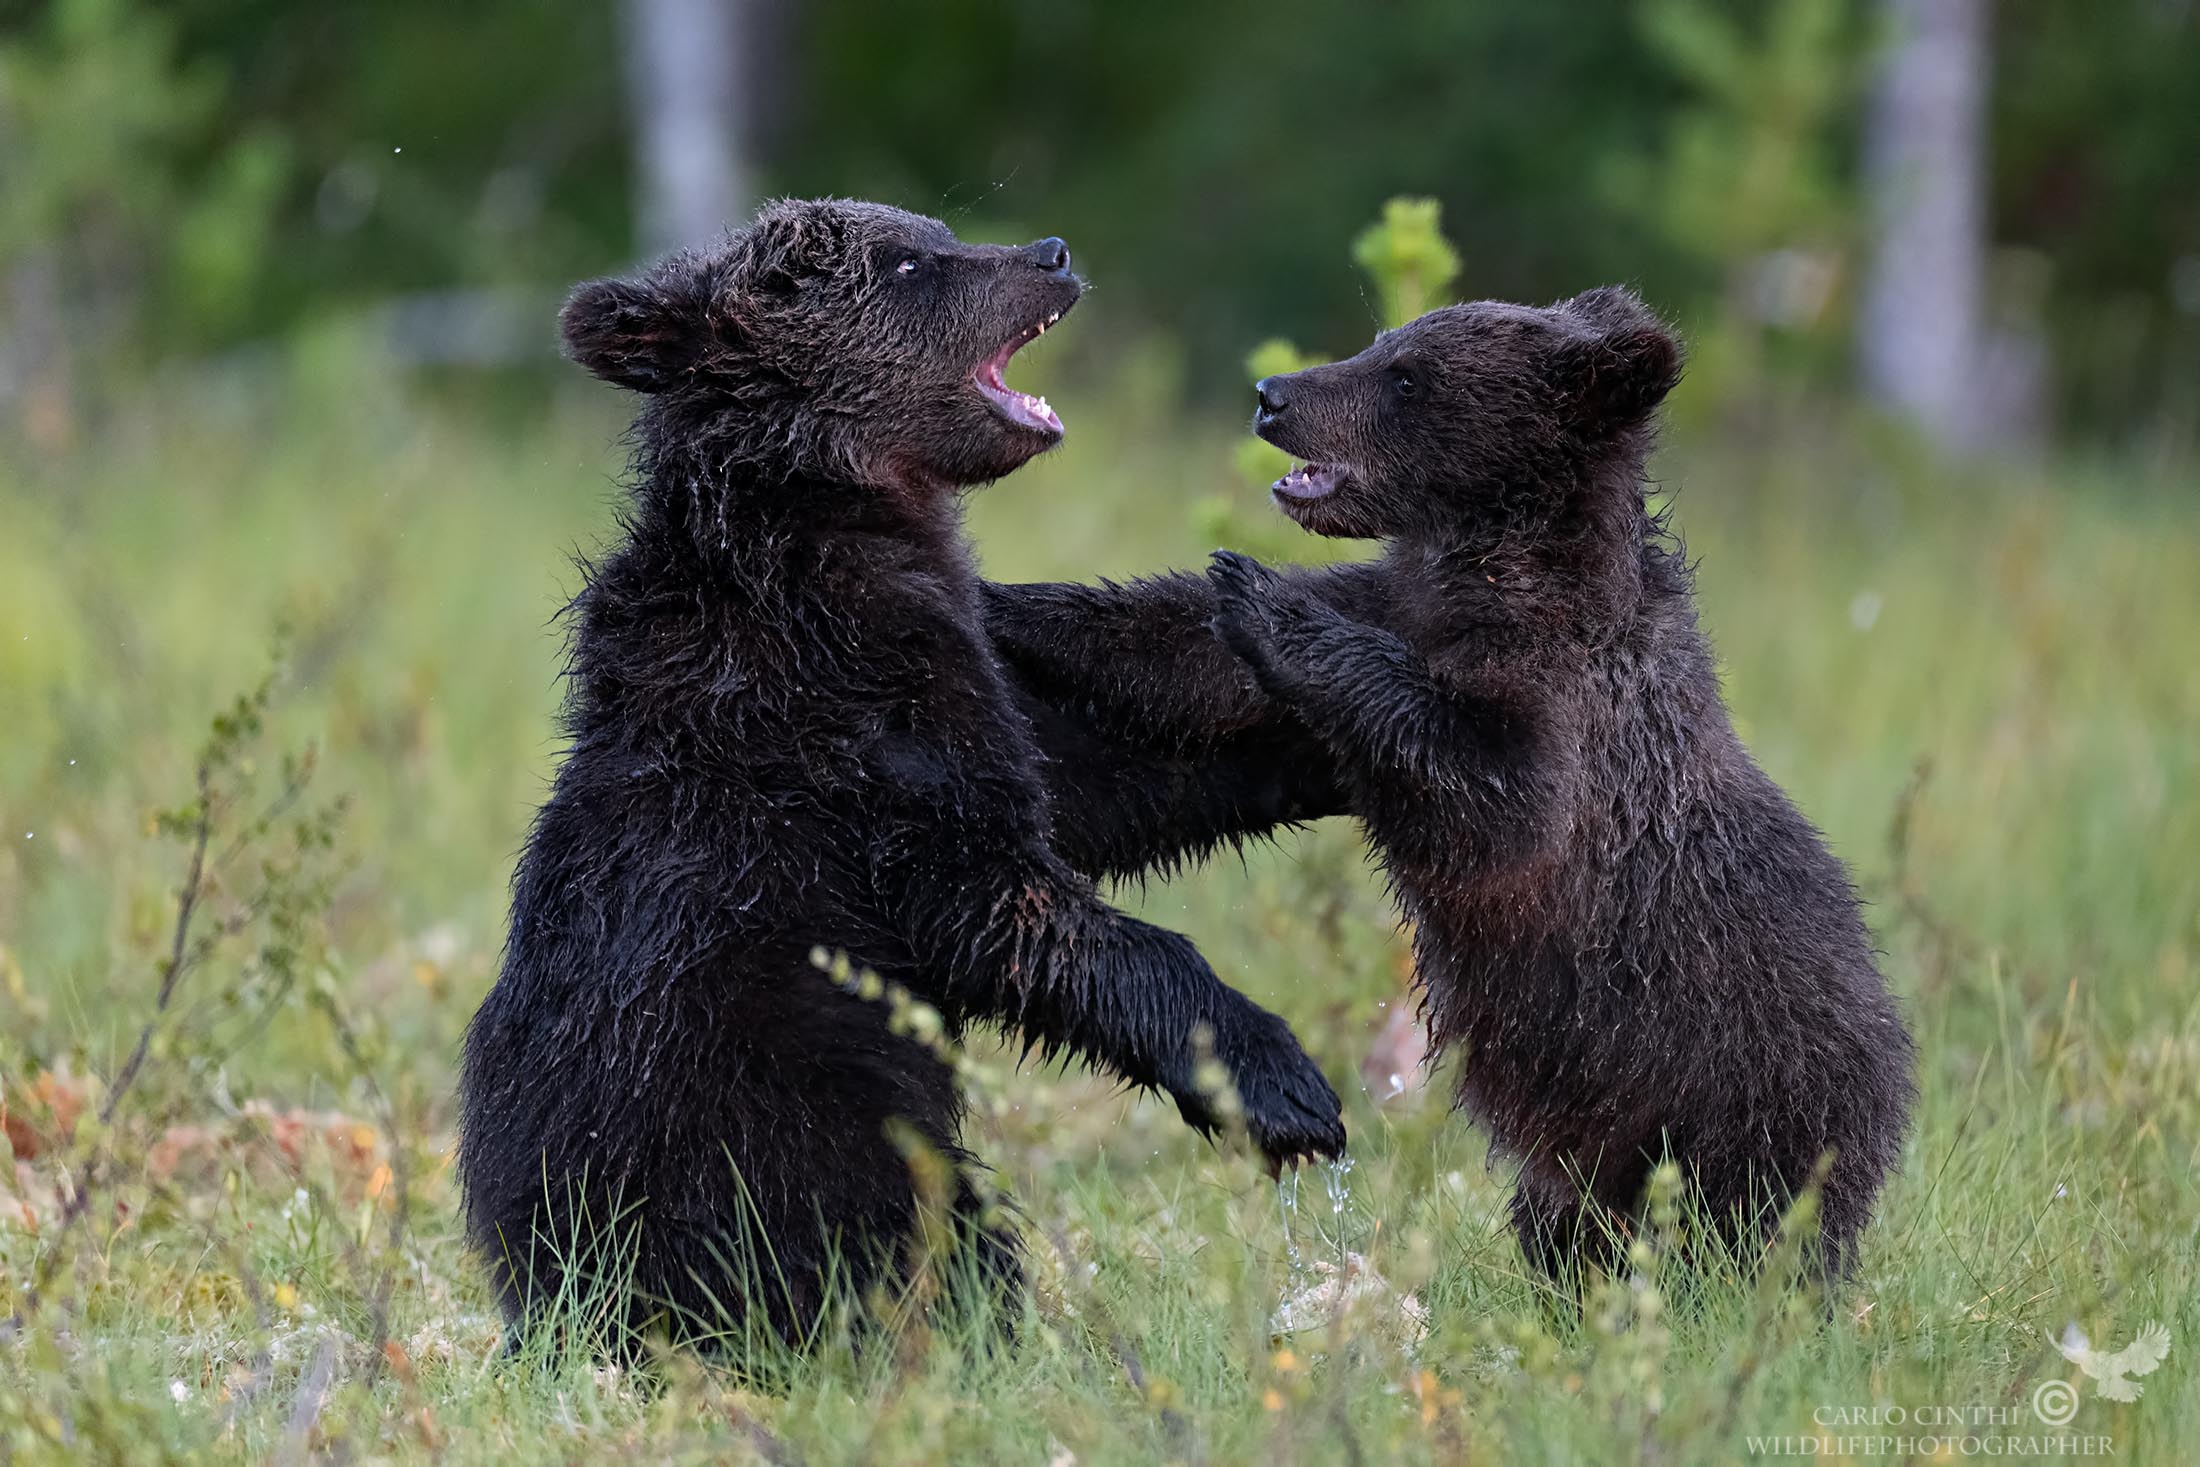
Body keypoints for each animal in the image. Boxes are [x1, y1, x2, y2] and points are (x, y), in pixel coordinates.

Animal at [456, 198, 1345, 1359]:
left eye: (937, 229)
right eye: (911, 263)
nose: (1050, 253)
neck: (831, 517)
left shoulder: (955, 675)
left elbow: (1093, 778)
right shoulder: (850, 721)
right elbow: (991, 892)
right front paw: (1281, 1084)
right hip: (771, 1126)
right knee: (922, 1232)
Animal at [986, 288, 1915, 1284]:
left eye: (1404, 376)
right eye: (1381, 342)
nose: (1274, 394)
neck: (1491, 567)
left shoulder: (1567, 702)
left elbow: (1492, 797)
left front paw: (1264, 597)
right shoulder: (1385, 618)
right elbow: (1182, 663)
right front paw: (1004, 598)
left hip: (1741, 1090)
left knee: (1740, 1234)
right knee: (1571, 1226)